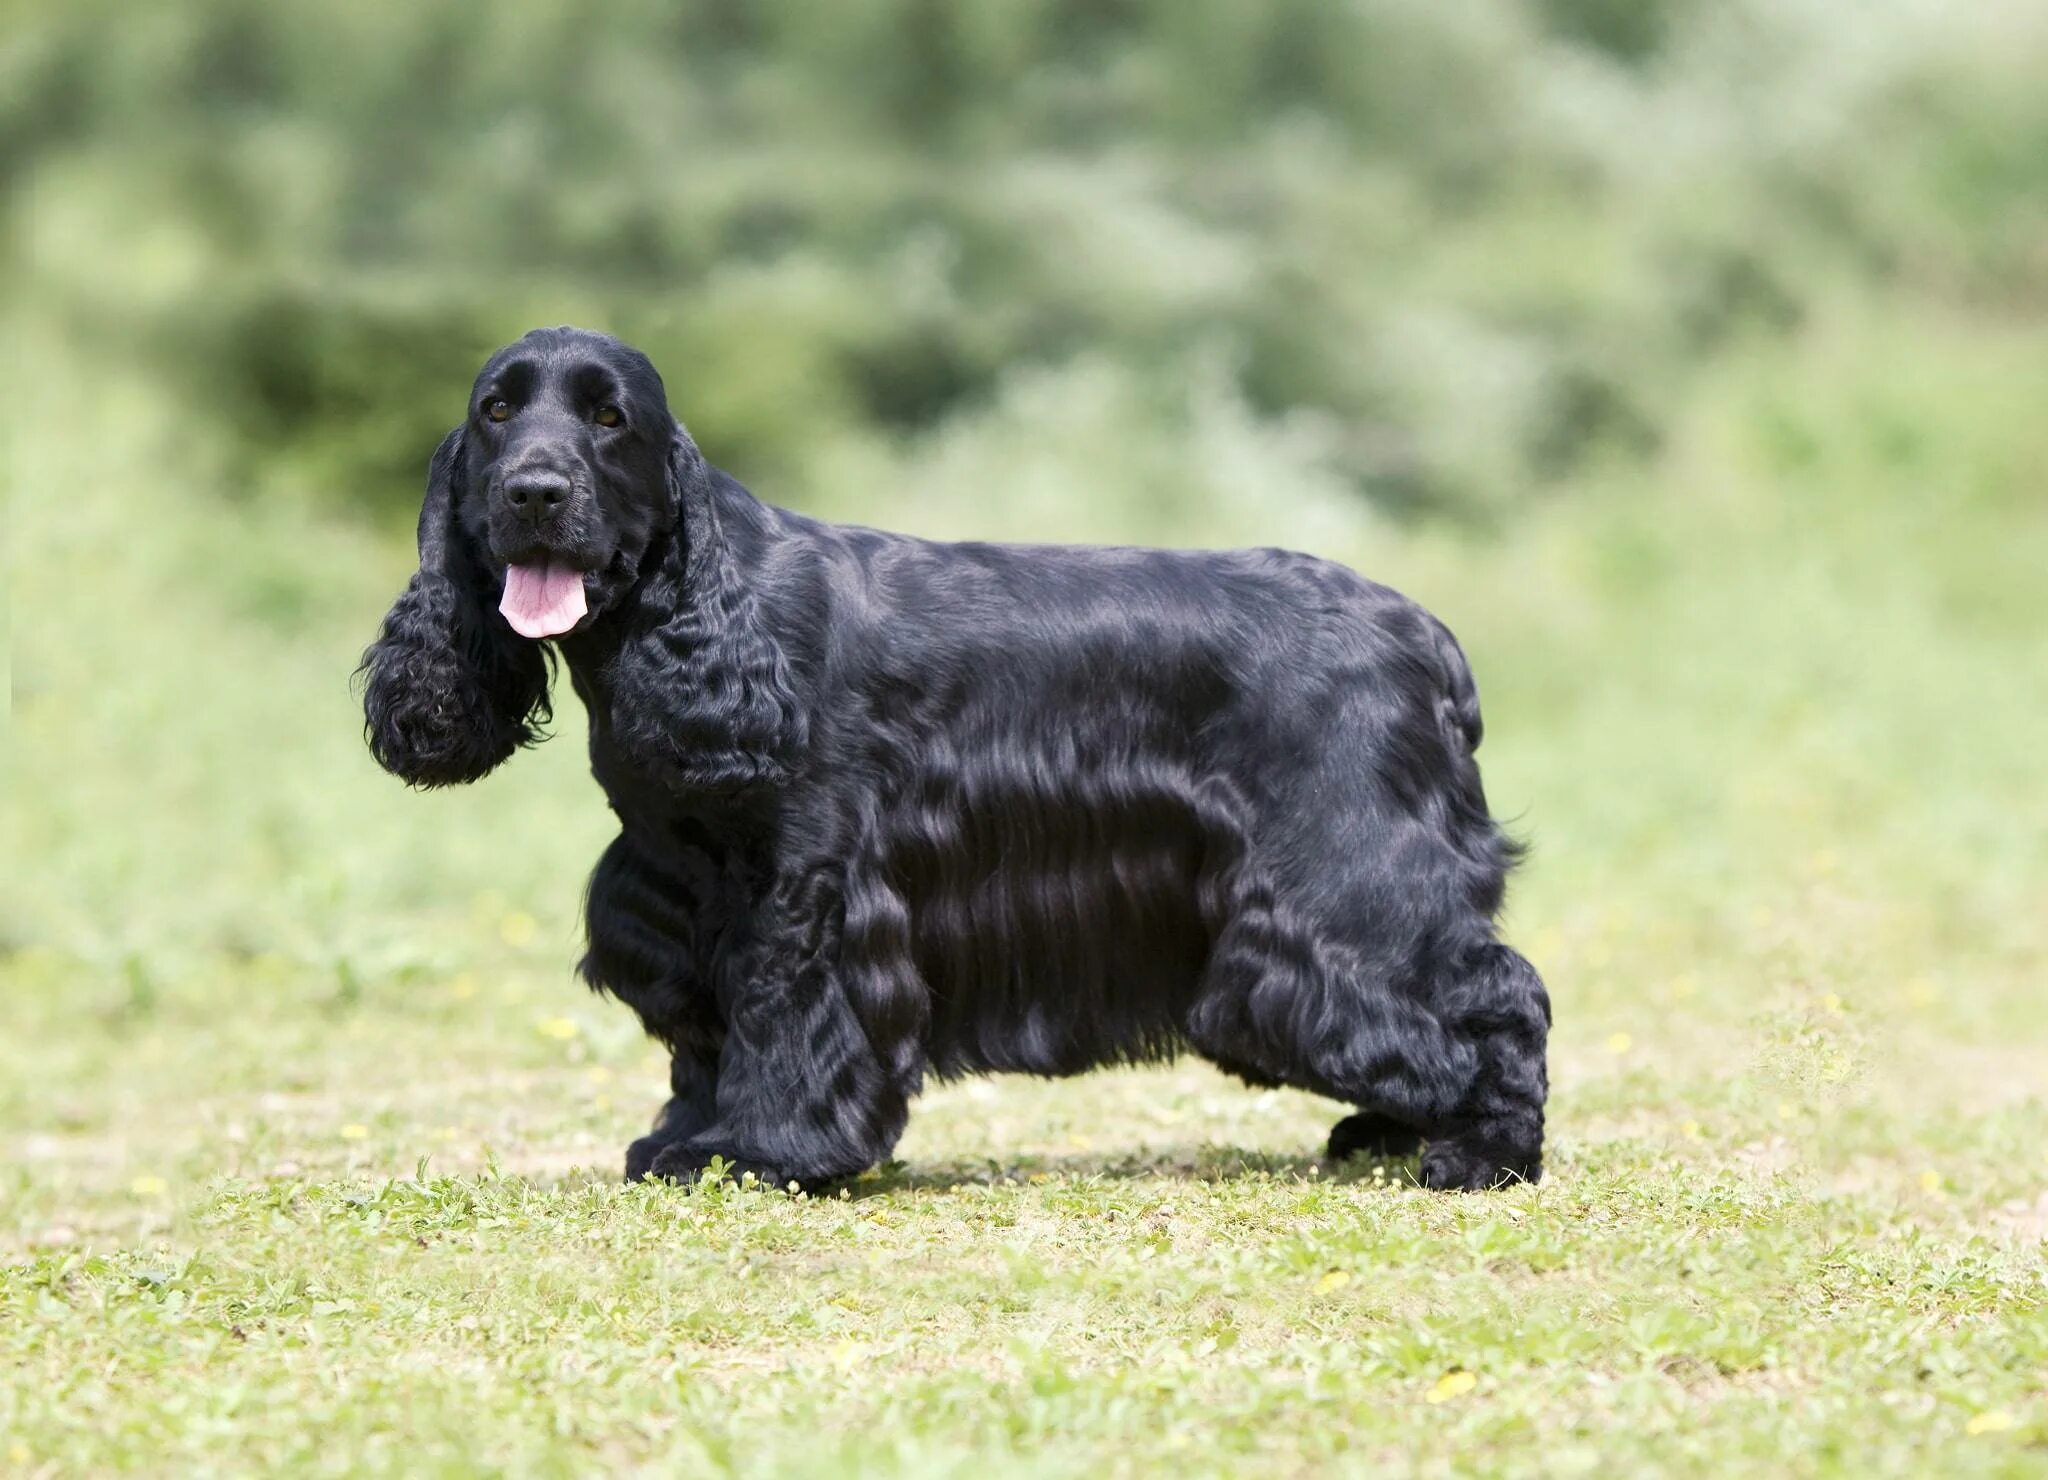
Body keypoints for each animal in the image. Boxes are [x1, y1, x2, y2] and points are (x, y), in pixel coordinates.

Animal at [364, 323, 1548, 1195]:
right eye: (496, 411)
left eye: (609, 418)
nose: (534, 492)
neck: (694, 611)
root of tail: (1422, 633)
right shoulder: (678, 884)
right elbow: (704, 1027)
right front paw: (685, 1139)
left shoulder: (811, 882)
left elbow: (779, 1007)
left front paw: (764, 1150)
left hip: (1343, 880)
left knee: (1498, 995)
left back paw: (1476, 1154)